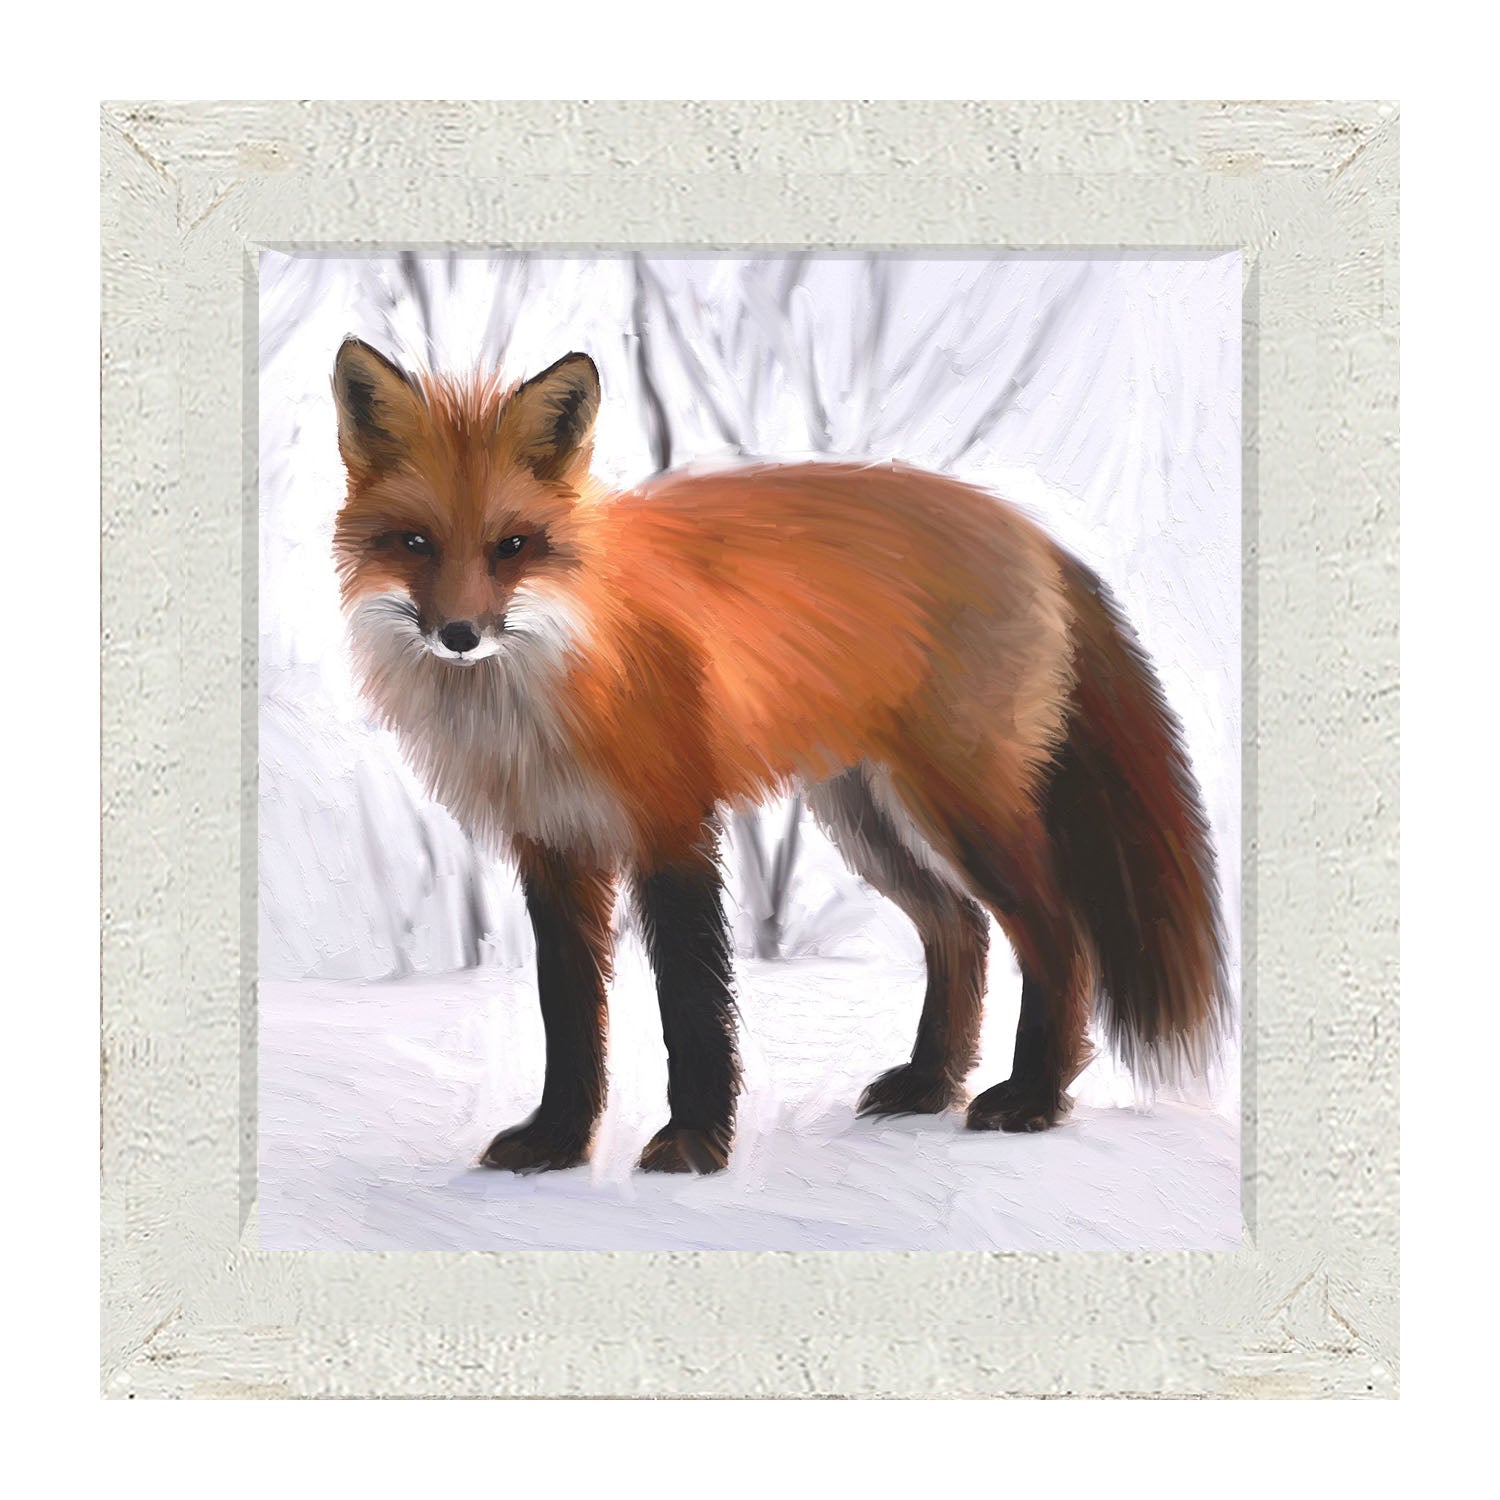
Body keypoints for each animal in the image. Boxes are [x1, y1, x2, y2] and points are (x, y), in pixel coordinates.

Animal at [330, 336, 1230, 1175]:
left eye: (513, 545)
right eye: (415, 542)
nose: (459, 635)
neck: (553, 684)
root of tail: (1028, 528)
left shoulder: (672, 826)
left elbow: (692, 1001)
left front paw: (694, 1144)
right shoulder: (553, 847)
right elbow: (570, 1011)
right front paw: (557, 1141)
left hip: (963, 811)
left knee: (1056, 935)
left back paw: (1034, 1098)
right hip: (867, 819)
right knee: (960, 929)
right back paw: (930, 1084)